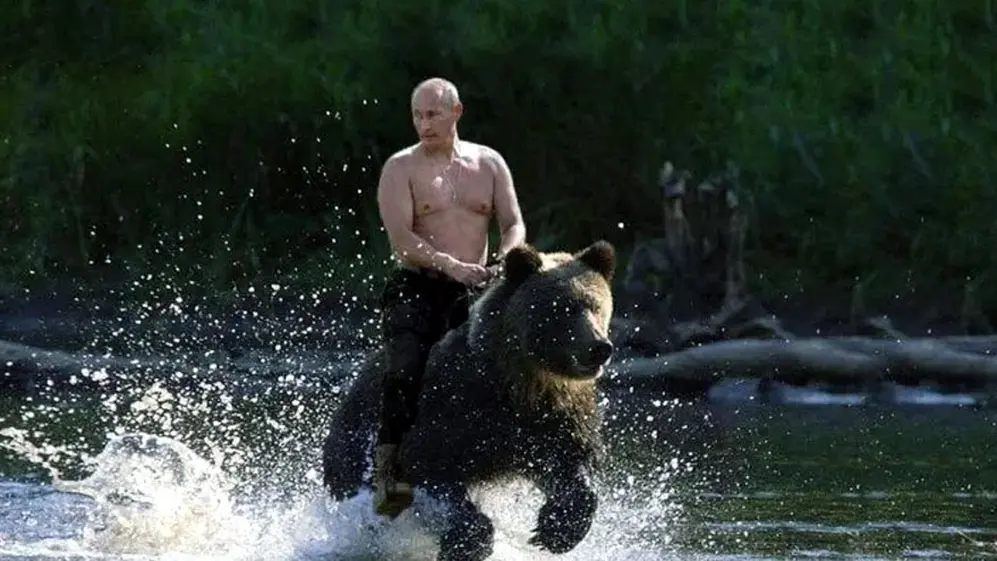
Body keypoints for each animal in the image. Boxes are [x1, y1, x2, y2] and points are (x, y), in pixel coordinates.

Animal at [321, 240, 617, 561]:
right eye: (562, 308)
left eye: (596, 306)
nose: (599, 347)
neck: (520, 382)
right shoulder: (453, 408)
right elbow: (430, 469)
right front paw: (466, 543)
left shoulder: (552, 416)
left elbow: (570, 462)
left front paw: (555, 529)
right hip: (356, 440)